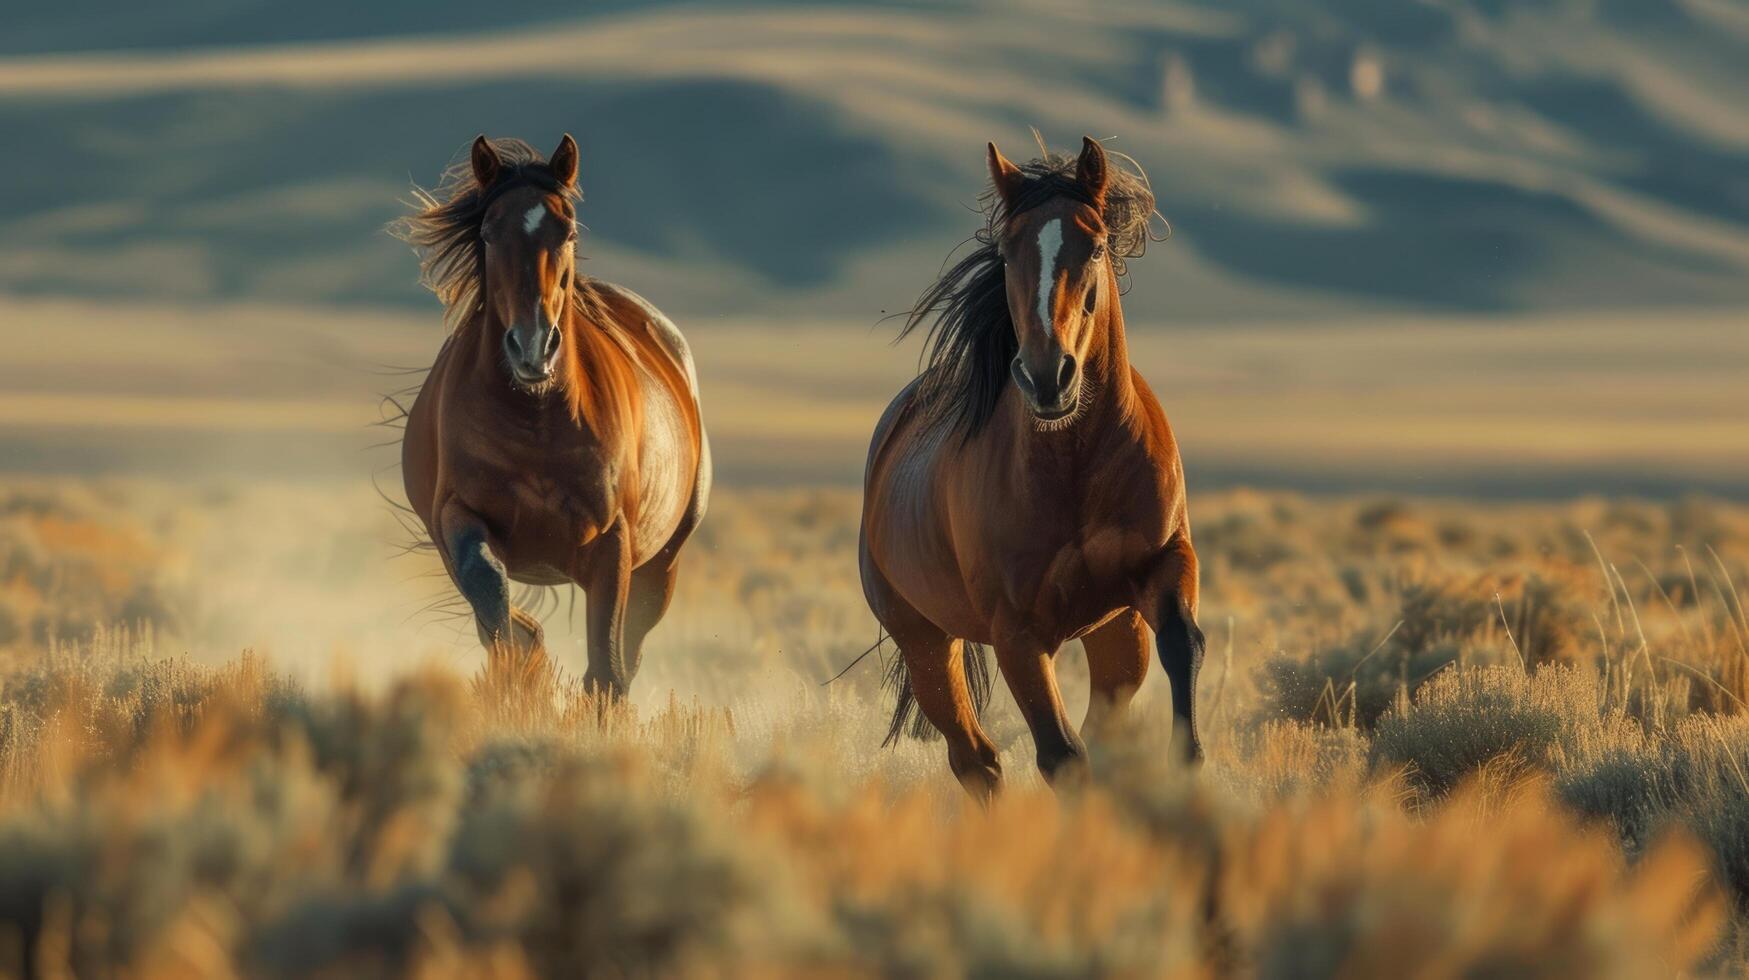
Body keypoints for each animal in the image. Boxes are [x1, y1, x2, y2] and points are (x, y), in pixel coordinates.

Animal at [397, 133, 710, 693]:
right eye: (489, 232)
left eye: (567, 230)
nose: (533, 346)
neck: (535, 422)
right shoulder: (458, 518)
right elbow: (494, 599)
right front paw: (518, 677)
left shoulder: (612, 545)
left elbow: (606, 666)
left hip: (662, 564)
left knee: (629, 649)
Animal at [860, 135, 1203, 798]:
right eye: (1007, 249)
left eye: (1094, 244)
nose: (1049, 377)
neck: (1075, 464)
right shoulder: (1017, 635)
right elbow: (1061, 755)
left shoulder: (1165, 562)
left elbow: (1183, 643)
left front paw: (1190, 763)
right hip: (925, 641)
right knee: (976, 760)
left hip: (1114, 630)